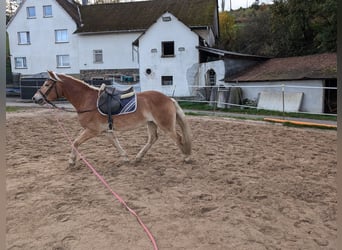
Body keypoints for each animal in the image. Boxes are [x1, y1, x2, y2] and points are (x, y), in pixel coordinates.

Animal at [32, 70, 192, 167]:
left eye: (47, 84)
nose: (35, 98)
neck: (87, 100)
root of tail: (169, 99)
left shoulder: (92, 130)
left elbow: (76, 142)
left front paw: (71, 161)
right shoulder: (106, 131)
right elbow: (114, 142)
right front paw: (125, 157)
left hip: (165, 125)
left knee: (177, 138)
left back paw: (187, 157)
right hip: (151, 123)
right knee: (152, 138)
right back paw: (138, 157)